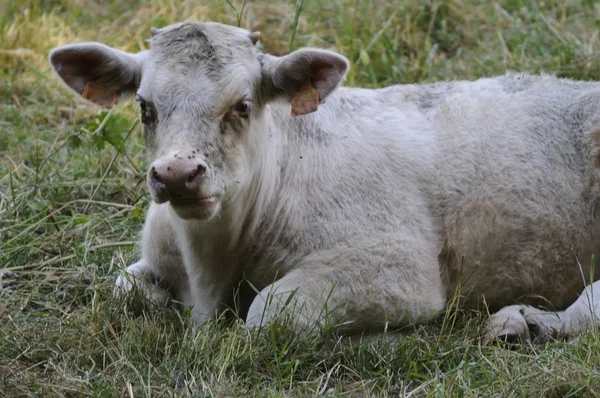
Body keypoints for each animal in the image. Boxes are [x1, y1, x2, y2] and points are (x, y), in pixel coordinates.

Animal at [50, 21, 600, 342]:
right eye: (145, 108)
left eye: (242, 106)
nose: (177, 174)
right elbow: (123, 288)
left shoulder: (399, 265)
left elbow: (266, 314)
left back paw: (527, 322)